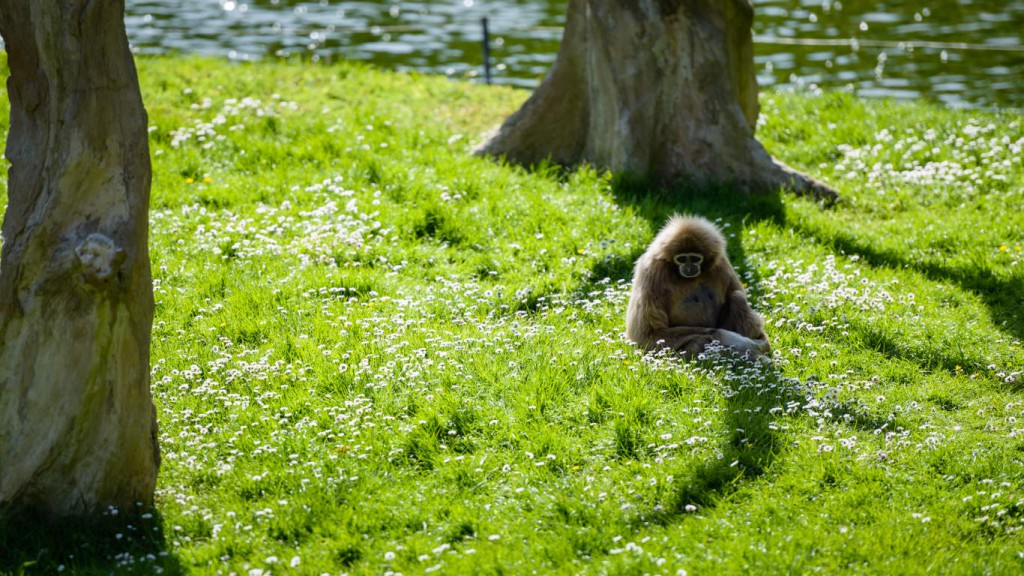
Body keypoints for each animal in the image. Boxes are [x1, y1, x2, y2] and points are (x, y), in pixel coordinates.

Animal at [625, 214, 770, 359]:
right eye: (682, 259)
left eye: (695, 258)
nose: (689, 267)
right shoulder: (650, 270)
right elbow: (648, 334)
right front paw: (737, 341)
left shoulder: (721, 263)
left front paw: (758, 342)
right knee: (697, 342)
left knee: (737, 296)